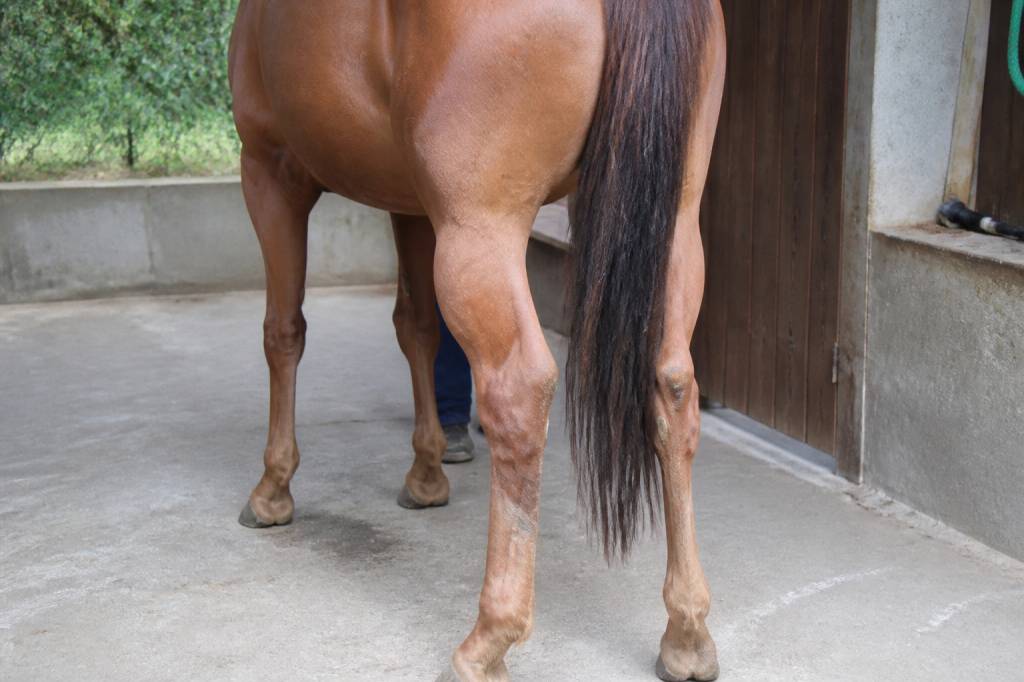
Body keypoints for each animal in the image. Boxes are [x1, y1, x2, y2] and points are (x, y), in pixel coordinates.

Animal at [228, 1, 725, 679]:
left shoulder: (270, 169)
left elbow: (283, 331)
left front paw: (274, 488)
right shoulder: (410, 202)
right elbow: (416, 328)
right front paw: (427, 473)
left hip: (480, 231)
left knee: (519, 395)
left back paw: (487, 639)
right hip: (676, 223)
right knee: (672, 387)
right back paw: (687, 631)